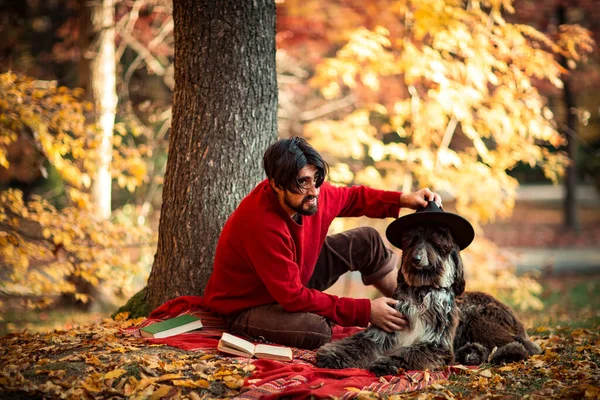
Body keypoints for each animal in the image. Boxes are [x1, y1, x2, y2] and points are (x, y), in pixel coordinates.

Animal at [316, 222, 540, 376]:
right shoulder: (381, 333)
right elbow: (356, 344)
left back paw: (505, 354)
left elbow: (408, 353)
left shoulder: (435, 343)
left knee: (522, 345)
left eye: (436, 241)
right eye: (413, 240)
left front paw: (385, 363)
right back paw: (471, 353)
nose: (416, 259)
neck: (422, 292)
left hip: (477, 318)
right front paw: (332, 356)